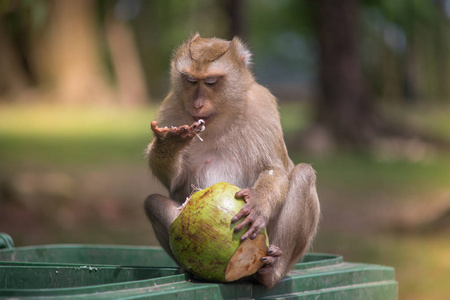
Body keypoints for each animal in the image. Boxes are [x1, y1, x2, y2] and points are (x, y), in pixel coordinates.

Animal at [145, 33, 320, 288]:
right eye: (190, 80)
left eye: (210, 82)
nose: (197, 105)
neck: (223, 114)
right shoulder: (170, 108)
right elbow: (174, 181)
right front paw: (170, 141)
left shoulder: (262, 104)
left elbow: (274, 169)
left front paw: (257, 203)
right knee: (153, 203)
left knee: (304, 175)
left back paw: (270, 272)